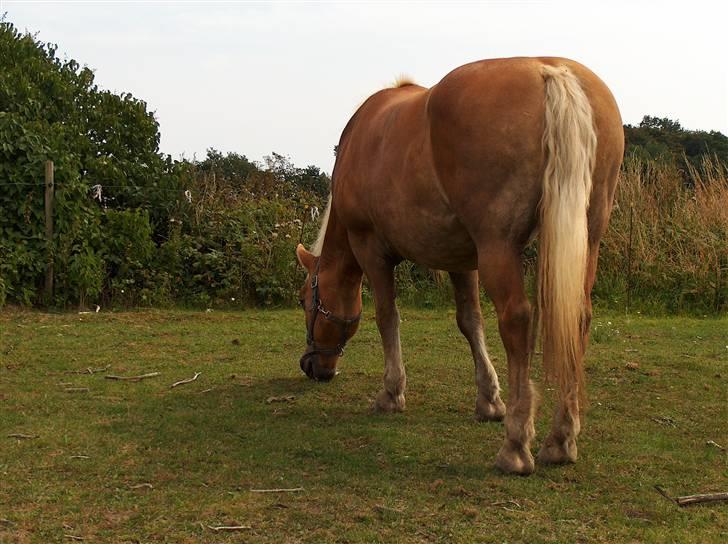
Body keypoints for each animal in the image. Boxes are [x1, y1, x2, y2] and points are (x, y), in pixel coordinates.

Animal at [292, 55, 624, 472]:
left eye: (306, 301)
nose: (311, 365)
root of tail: (548, 70)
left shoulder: (371, 250)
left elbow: (387, 317)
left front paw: (392, 392)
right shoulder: (461, 258)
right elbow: (470, 322)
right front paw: (490, 400)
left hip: (498, 245)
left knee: (517, 319)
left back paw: (516, 445)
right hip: (587, 239)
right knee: (577, 317)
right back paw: (560, 440)